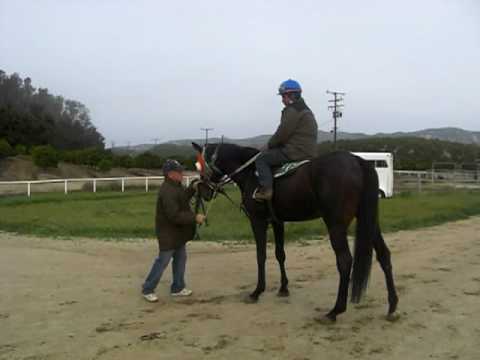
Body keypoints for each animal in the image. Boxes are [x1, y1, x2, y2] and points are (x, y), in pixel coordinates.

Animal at [193, 142, 400, 322]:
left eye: (200, 165)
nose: (203, 191)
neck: (251, 173)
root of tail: (358, 161)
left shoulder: (258, 221)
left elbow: (261, 255)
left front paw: (257, 291)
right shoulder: (277, 222)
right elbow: (280, 254)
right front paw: (283, 288)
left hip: (336, 225)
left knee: (344, 261)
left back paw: (335, 311)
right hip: (369, 221)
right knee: (384, 255)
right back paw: (392, 306)